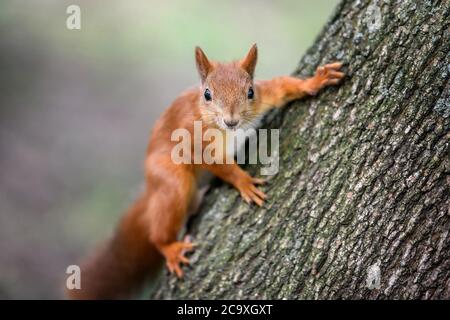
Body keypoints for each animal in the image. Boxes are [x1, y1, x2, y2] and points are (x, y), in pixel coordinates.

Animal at [67, 43, 342, 298]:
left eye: (250, 91)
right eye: (207, 94)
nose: (231, 121)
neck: (226, 128)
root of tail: (150, 187)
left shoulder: (264, 97)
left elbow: (282, 86)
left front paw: (314, 81)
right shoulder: (195, 141)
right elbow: (221, 166)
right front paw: (244, 182)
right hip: (171, 180)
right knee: (160, 227)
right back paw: (170, 248)